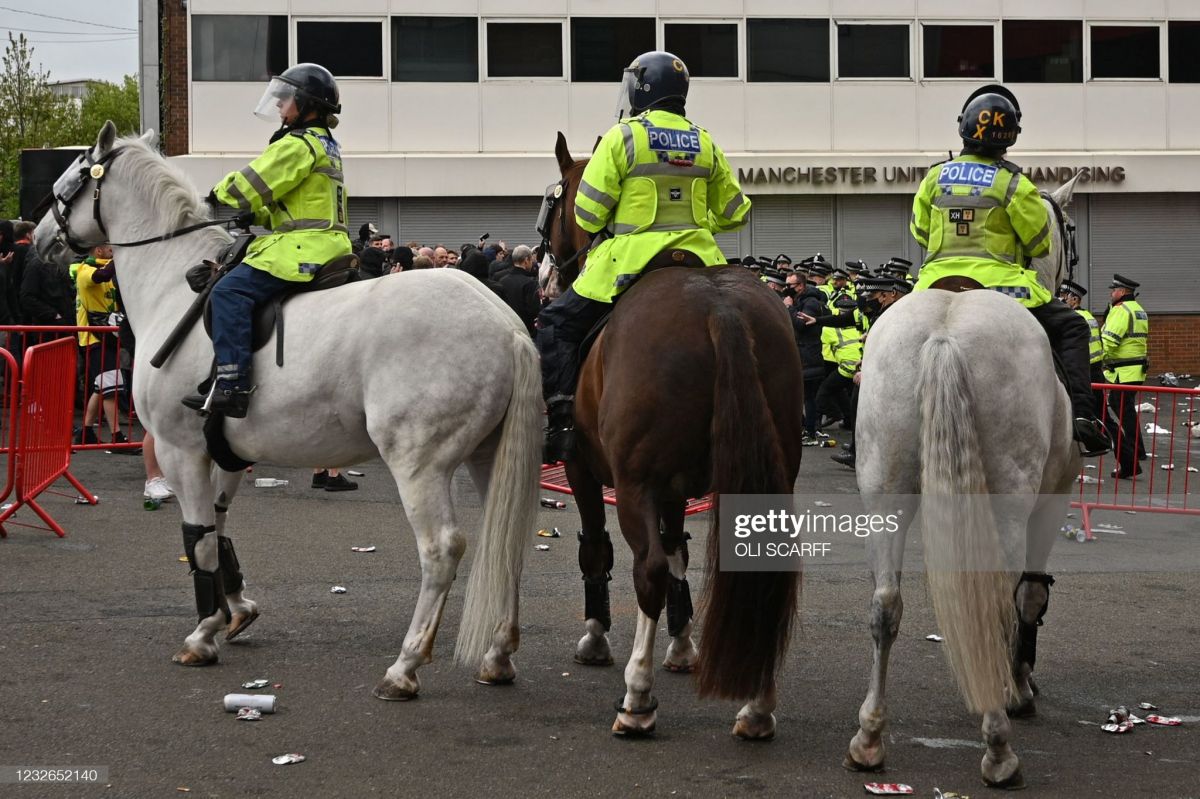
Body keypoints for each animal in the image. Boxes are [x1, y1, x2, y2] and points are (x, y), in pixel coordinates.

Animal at [32, 122, 542, 695]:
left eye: (70, 179)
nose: (39, 238)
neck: (173, 285)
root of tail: (506, 324)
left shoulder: (181, 449)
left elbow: (198, 539)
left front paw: (202, 635)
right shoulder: (226, 453)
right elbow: (221, 532)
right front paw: (236, 611)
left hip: (419, 464)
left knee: (440, 550)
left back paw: (405, 666)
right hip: (488, 456)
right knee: (507, 542)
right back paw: (497, 655)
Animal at [544, 133, 806, 739]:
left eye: (551, 202)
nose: (547, 274)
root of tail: (719, 309)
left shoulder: (585, 469)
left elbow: (600, 548)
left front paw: (596, 637)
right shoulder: (676, 486)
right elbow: (681, 549)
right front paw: (683, 645)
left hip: (633, 481)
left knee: (649, 570)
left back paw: (637, 698)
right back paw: (757, 704)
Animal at [844, 176, 1089, 782]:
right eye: (1070, 231)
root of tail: (944, 331)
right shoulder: (1052, 499)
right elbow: (1030, 594)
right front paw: (1020, 686)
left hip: (884, 491)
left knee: (885, 604)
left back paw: (869, 737)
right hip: (1007, 499)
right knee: (998, 598)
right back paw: (999, 745)